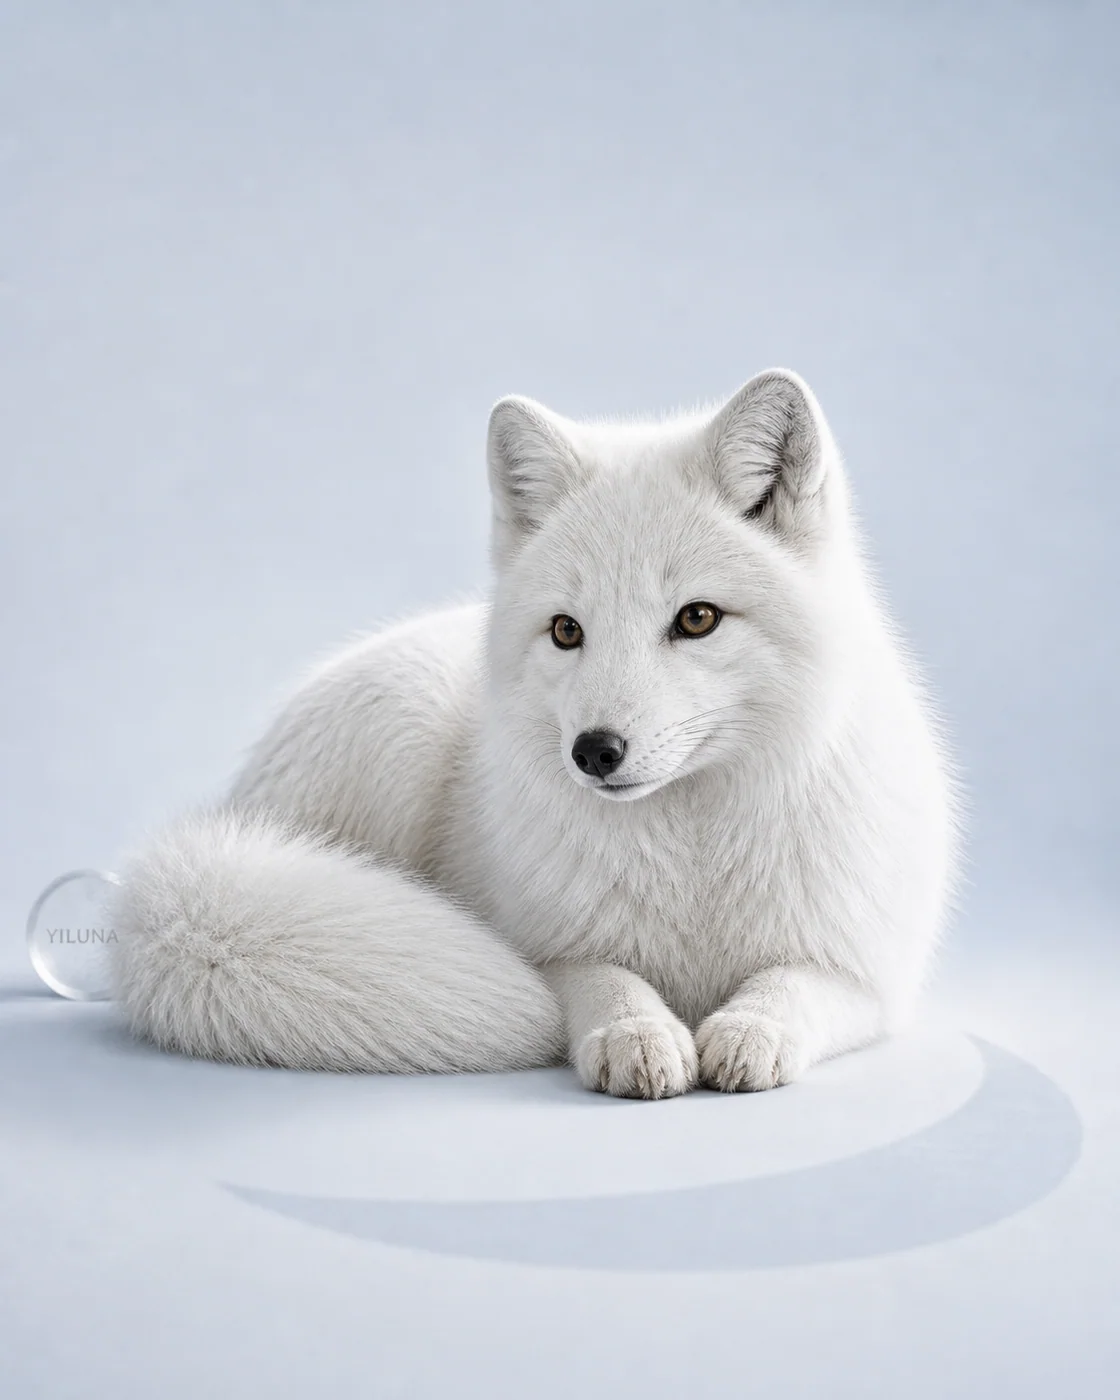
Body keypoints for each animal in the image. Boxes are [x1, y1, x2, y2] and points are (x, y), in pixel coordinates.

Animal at [109, 370, 959, 1099]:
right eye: (566, 630)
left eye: (697, 619)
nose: (594, 751)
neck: (692, 858)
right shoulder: (547, 950)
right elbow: (600, 977)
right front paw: (635, 1032)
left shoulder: (871, 979)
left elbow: (792, 986)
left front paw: (751, 1031)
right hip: (399, 727)